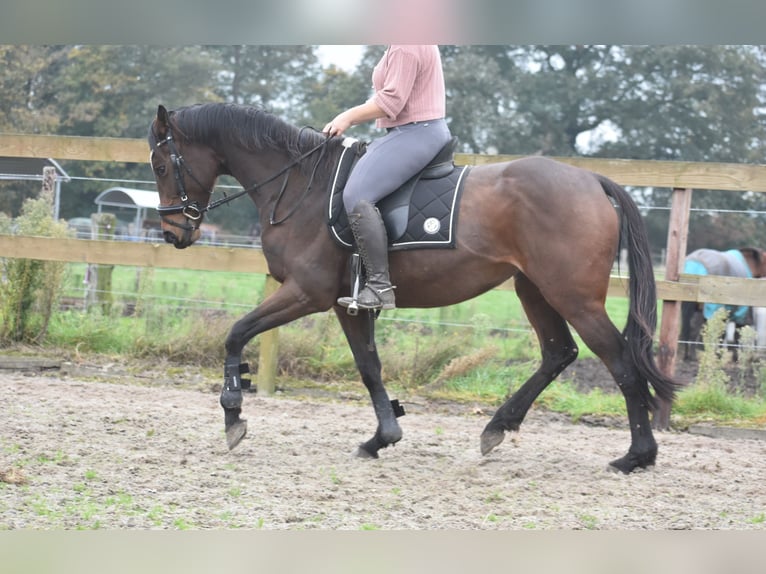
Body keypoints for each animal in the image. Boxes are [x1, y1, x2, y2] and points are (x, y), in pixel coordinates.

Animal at [148, 103, 680, 476]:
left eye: (160, 166)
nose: (174, 233)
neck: (301, 187)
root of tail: (589, 179)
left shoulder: (306, 294)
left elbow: (236, 334)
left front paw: (233, 416)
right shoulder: (348, 305)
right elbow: (369, 367)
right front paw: (382, 437)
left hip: (573, 296)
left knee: (619, 361)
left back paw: (636, 455)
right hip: (535, 289)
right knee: (558, 353)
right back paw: (496, 428)